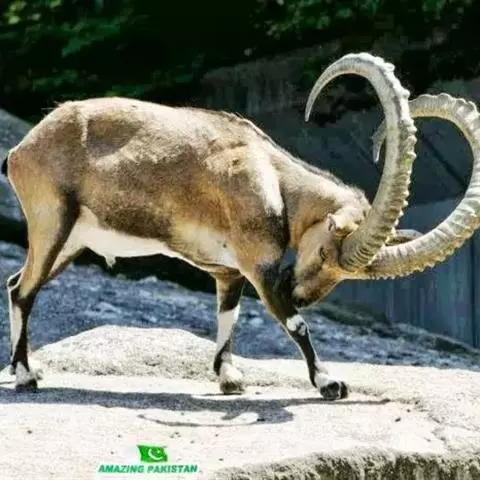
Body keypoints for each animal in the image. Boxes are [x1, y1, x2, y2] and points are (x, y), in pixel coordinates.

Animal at [3, 53, 480, 400]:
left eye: (348, 275)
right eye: (324, 250)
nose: (298, 293)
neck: (272, 177)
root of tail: (22, 148)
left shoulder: (229, 270)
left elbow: (228, 315)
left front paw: (229, 378)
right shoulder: (260, 267)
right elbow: (295, 325)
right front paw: (329, 383)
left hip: (71, 241)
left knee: (14, 284)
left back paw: (21, 367)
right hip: (51, 221)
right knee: (25, 290)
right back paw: (26, 377)